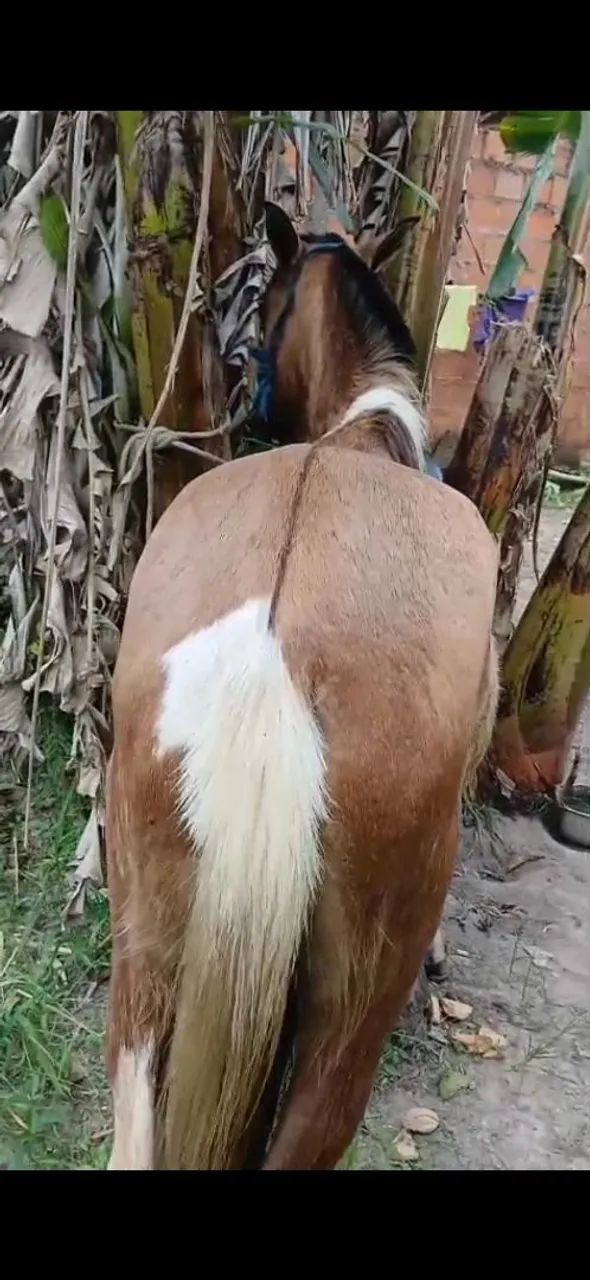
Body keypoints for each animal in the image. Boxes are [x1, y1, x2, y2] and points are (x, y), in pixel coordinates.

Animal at [105, 203, 499, 1170]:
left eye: (260, 309)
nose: (245, 405)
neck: (362, 432)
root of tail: (270, 665)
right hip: (351, 1013)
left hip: (145, 959)